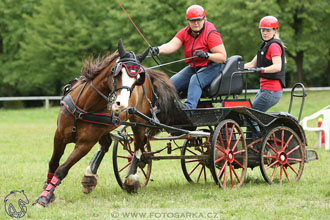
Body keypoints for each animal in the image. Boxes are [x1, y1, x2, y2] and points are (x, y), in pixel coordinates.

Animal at [32, 39, 150, 206]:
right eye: (117, 72)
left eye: (137, 79)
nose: (121, 104)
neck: (85, 107)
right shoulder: (59, 136)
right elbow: (53, 163)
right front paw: (47, 190)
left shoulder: (85, 145)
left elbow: (62, 169)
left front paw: (44, 197)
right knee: (106, 144)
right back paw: (90, 177)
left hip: (139, 123)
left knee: (139, 147)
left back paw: (131, 179)